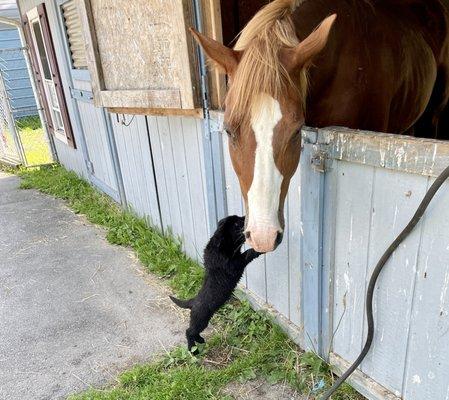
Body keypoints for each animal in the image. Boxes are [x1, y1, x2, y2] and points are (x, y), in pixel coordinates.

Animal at [169, 216, 260, 350]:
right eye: (237, 223)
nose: (245, 217)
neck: (222, 244)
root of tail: (192, 302)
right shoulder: (233, 265)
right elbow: (246, 254)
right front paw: (256, 251)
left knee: (194, 332)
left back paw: (200, 340)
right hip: (200, 320)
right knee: (189, 332)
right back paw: (192, 349)